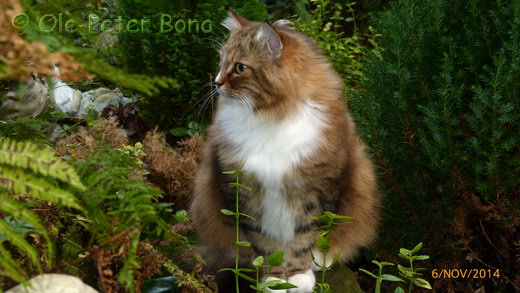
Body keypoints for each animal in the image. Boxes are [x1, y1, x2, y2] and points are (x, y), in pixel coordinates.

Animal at [189, 11, 380, 292]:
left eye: (240, 68)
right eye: (222, 62)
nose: (216, 83)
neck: (272, 116)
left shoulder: (315, 190)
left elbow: (303, 239)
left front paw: (299, 276)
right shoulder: (247, 193)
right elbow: (267, 246)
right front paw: (275, 279)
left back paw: (321, 259)